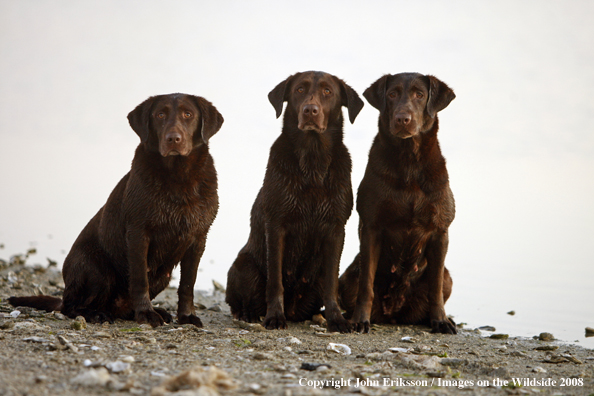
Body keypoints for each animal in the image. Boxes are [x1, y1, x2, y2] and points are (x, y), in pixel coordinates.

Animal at [9, 93, 222, 328]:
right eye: (160, 115)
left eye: (188, 114)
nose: (173, 139)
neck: (178, 176)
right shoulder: (138, 233)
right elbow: (139, 279)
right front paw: (146, 313)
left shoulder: (198, 238)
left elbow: (187, 284)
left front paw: (186, 316)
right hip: (97, 269)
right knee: (70, 306)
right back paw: (96, 314)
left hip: (163, 277)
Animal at [225, 70, 364, 332]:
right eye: (299, 89)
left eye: (328, 91)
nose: (310, 110)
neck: (313, 161)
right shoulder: (276, 225)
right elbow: (275, 279)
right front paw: (274, 316)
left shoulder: (336, 229)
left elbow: (331, 283)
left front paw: (337, 319)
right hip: (244, 266)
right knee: (240, 299)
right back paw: (249, 314)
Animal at [338, 72, 458, 334]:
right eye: (392, 94)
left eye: (420, 95)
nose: (403, 118)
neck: (409, 161)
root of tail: (394, 313)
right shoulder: (372, 227)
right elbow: (366, 285)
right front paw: (360, 320)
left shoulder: (440, 231)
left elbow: (435, 288)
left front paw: (441, 321)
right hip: (347, 278)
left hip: (448, 277)